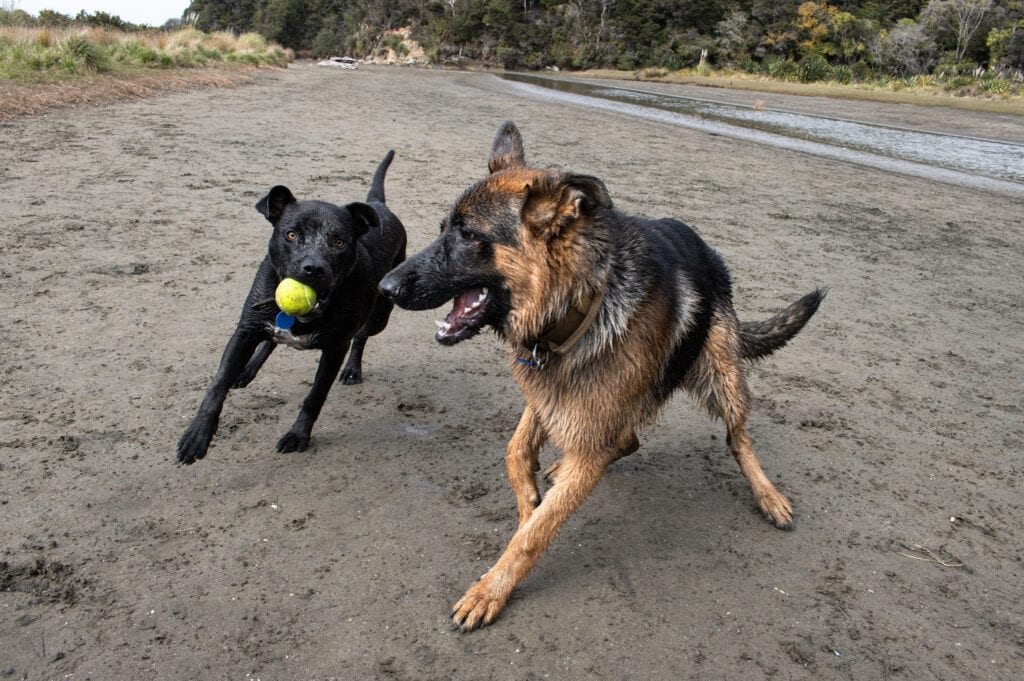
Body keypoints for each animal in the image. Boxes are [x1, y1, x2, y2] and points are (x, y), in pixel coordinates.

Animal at [178, 151, 405, 464]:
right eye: (291, 235)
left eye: (339, 241)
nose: (313, 269)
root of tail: (378, 205)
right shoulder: (244, 330)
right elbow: (217, 385)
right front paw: (197, 435)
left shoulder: (335, 349)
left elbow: (314, 397)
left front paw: (298, 435)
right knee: (271, 338)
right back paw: (247, 370)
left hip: (379, 317)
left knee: (361, 337)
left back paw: (352, 369)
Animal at [378, 120, 823, 626]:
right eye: (442, 230)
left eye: (469, 234)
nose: (384, 286)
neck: (577, 306)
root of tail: (710, 252)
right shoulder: (549, 394)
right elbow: (516, 454)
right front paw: (529, 501)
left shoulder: (582, 417)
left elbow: (533, 535)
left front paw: (492, 587)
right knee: (626, 440)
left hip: (722, 378)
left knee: (737, 438)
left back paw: (767, 493)